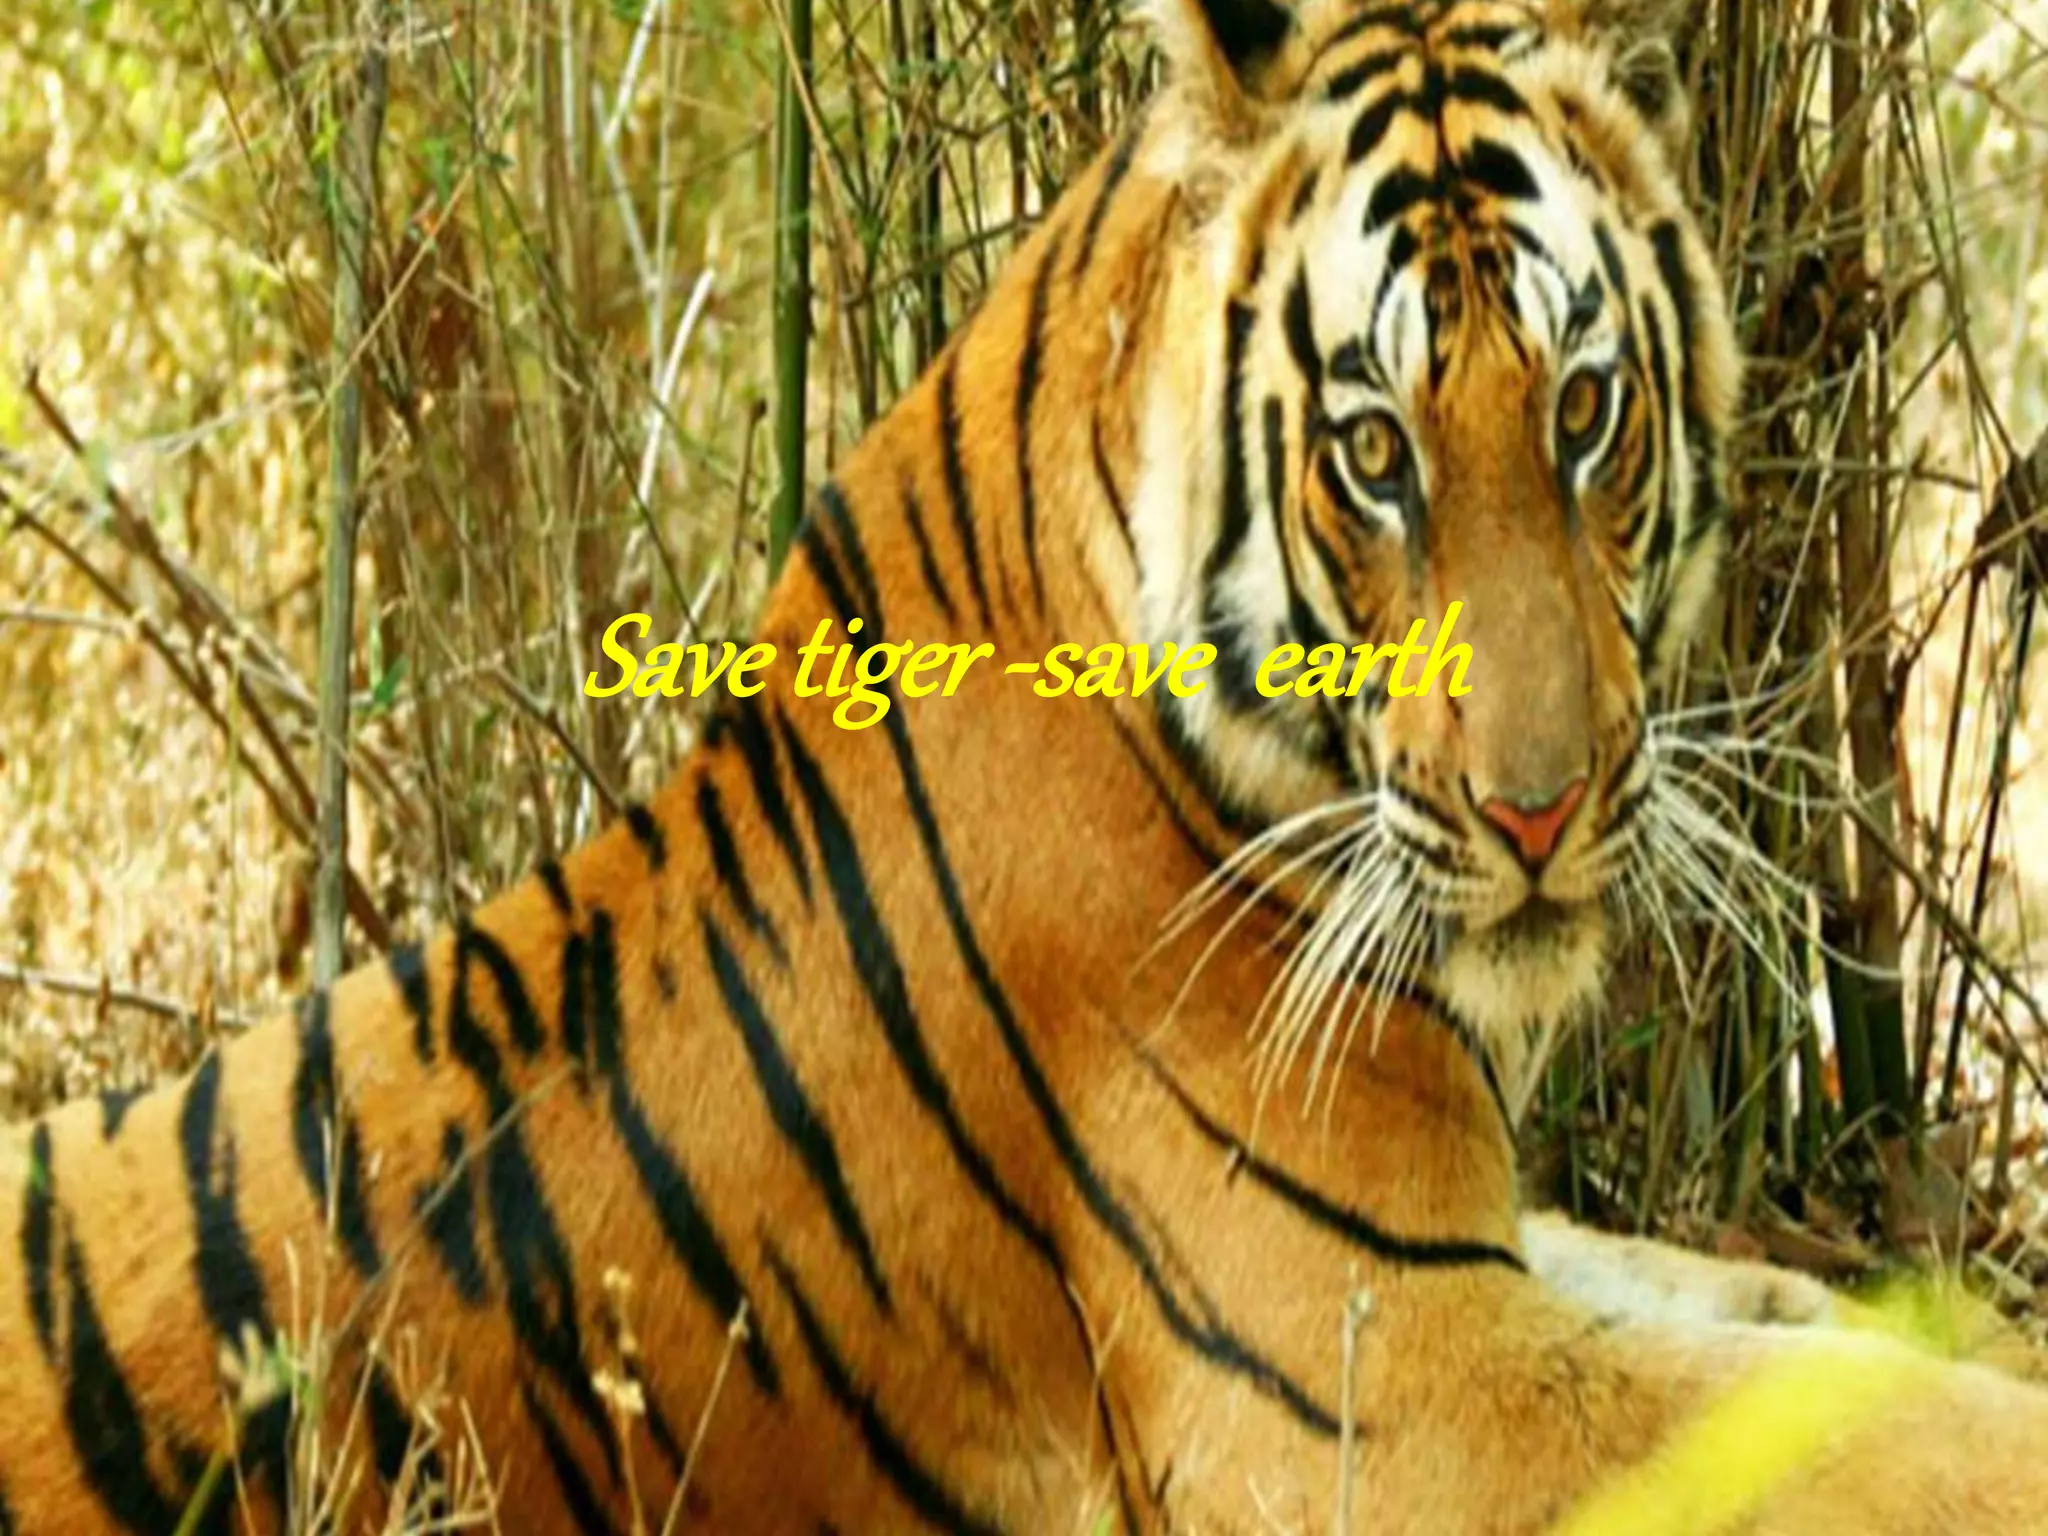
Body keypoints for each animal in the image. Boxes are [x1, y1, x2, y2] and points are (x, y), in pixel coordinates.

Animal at [6, 0, 2048, 1530]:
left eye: (1586, 410)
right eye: (1373, 452)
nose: (1538, 812)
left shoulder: (1485, 1248)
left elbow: (1835, 1318)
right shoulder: (1390, 1370)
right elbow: (1886, 1433)